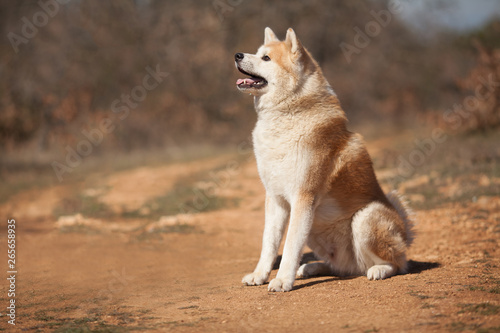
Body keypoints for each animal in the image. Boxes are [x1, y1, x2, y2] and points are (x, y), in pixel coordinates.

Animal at [234, 27, 414, 290]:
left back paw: (379, 269)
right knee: (343, 268)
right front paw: (259, 275)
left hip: (365, 218)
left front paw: (282, 281)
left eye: (266, 58)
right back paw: (311, 268)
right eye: (256, 53)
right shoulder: (276, 199)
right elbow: (268, 244)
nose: (237, 55)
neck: (288, 113)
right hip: (317, 234)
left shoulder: (303, 198)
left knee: (397, 264)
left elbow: (290, 247)